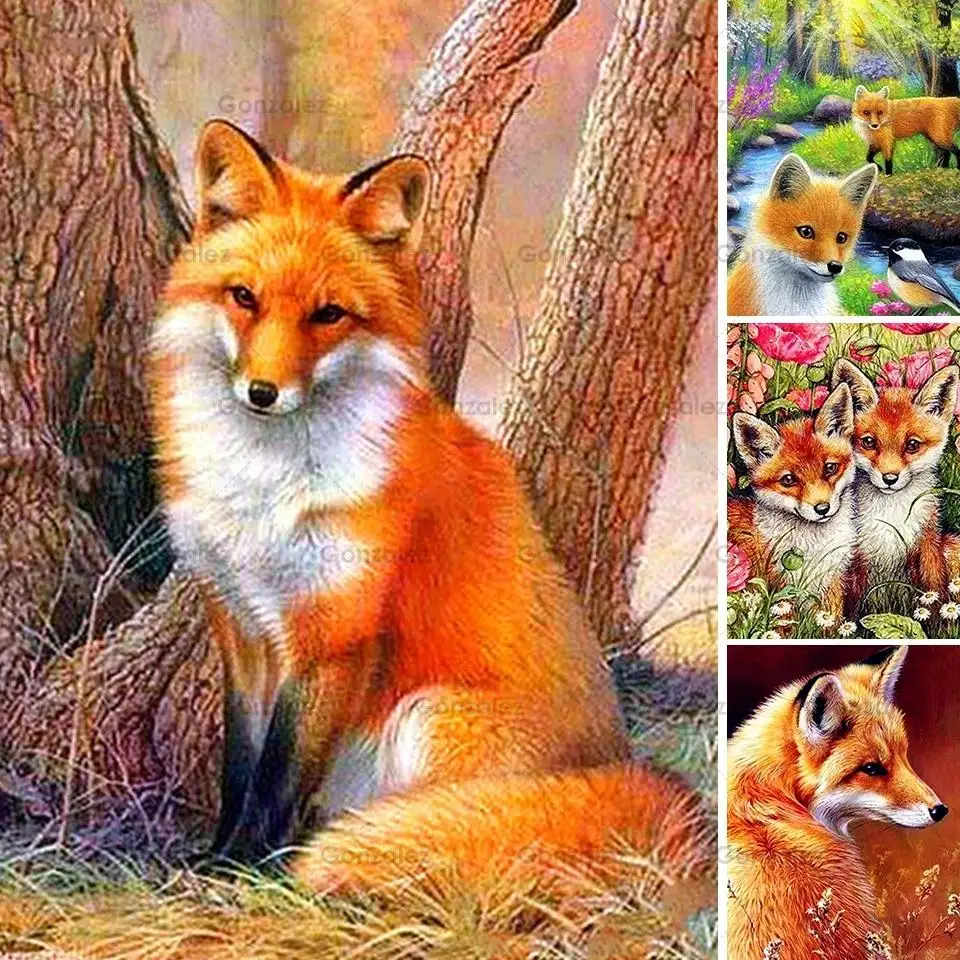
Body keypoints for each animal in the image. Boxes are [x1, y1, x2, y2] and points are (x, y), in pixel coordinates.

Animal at [147, 120, 709, 893]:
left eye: (328, 315)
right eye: (244, 297)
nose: (262, 392)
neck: (263, 487)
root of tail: (627, 766)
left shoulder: (335, 634)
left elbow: (278, 777)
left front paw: (242, 872)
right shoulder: (242, 624)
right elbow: (241, 768)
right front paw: (216, 855)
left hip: (427, 716)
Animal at [730, 382, 857, 619]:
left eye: (829, 468)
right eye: (788, 480)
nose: (822, 508)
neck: (814, 547)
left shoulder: (830, 583)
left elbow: (830, 621)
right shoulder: (782, 589)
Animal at [832, 358, 959, 605]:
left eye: (912, 445)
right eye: (869, 442)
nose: (889, 479)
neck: (891, 518)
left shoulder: (927, 546)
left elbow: (934, 593)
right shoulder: (856, 558)